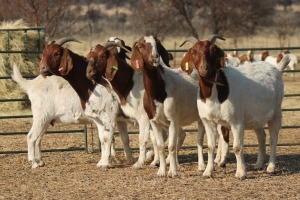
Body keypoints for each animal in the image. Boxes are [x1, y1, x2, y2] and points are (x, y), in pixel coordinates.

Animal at [34, 37, 134, 167]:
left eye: (57, 53)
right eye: (44, 53)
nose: (43, 68)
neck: (94, 85)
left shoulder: (109, 116)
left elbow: (109, 138)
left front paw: (108, 162)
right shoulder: (114, 118)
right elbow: (118, 138)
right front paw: (121, 159)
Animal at [129, 35, 230, 177]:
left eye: (157, 44)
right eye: (141, 46)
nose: (155, 58)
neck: (158, 93)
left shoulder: (172, 120)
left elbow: (171, 146)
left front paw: (173, 172)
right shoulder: (154, 121)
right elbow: (161, 146)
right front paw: (162, 171)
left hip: (201, 118)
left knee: (200, 140)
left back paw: (202, 165)